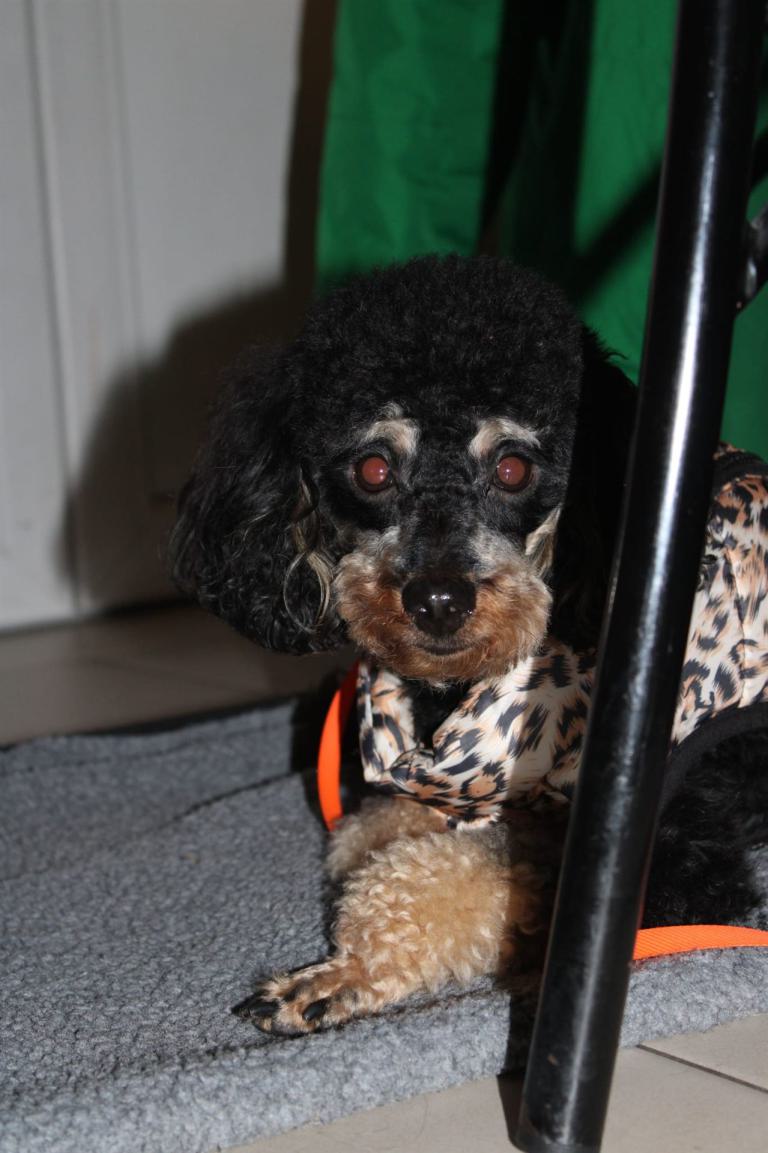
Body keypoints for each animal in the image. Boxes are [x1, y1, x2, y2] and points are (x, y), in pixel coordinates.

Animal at [171, 255, 768, 1036]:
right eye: (373, 469)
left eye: (513, 468)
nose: (439, 600)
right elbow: (379, 829)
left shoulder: (676, 857)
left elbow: (456, 875)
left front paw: (338, 974)